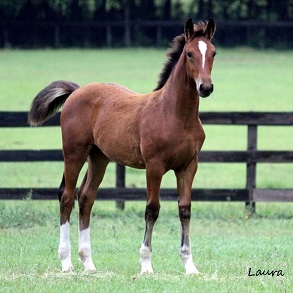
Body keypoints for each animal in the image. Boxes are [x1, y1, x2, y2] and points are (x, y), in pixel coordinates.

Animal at [28, 18, 214, 274]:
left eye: (213, 52)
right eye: (189, 54)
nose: (205, 87)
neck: (175, 114)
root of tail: (76, 91)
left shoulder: (188, 166)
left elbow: (185, 209)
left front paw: (189, 265)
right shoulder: (154, 166)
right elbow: (152, 209)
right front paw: (146, 265)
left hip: (98, 158)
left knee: (85, 197)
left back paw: (88, 262)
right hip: (74, 154)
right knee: (66, 197)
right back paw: (66, 262)